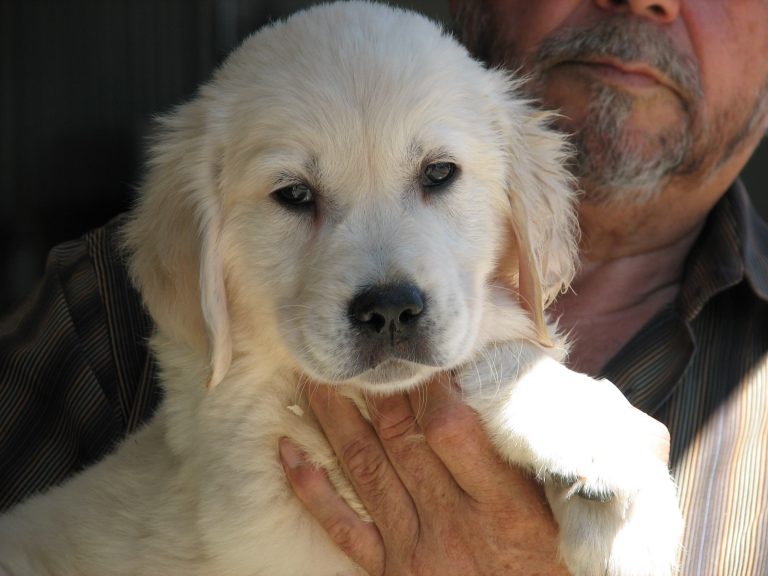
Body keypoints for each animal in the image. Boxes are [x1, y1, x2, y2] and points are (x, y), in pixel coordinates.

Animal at [0, 2, 684, 572]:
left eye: (440, 173)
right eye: (294, 195)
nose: (391, 311)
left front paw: (621, 507)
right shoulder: (251, 451)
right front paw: (594, 442)